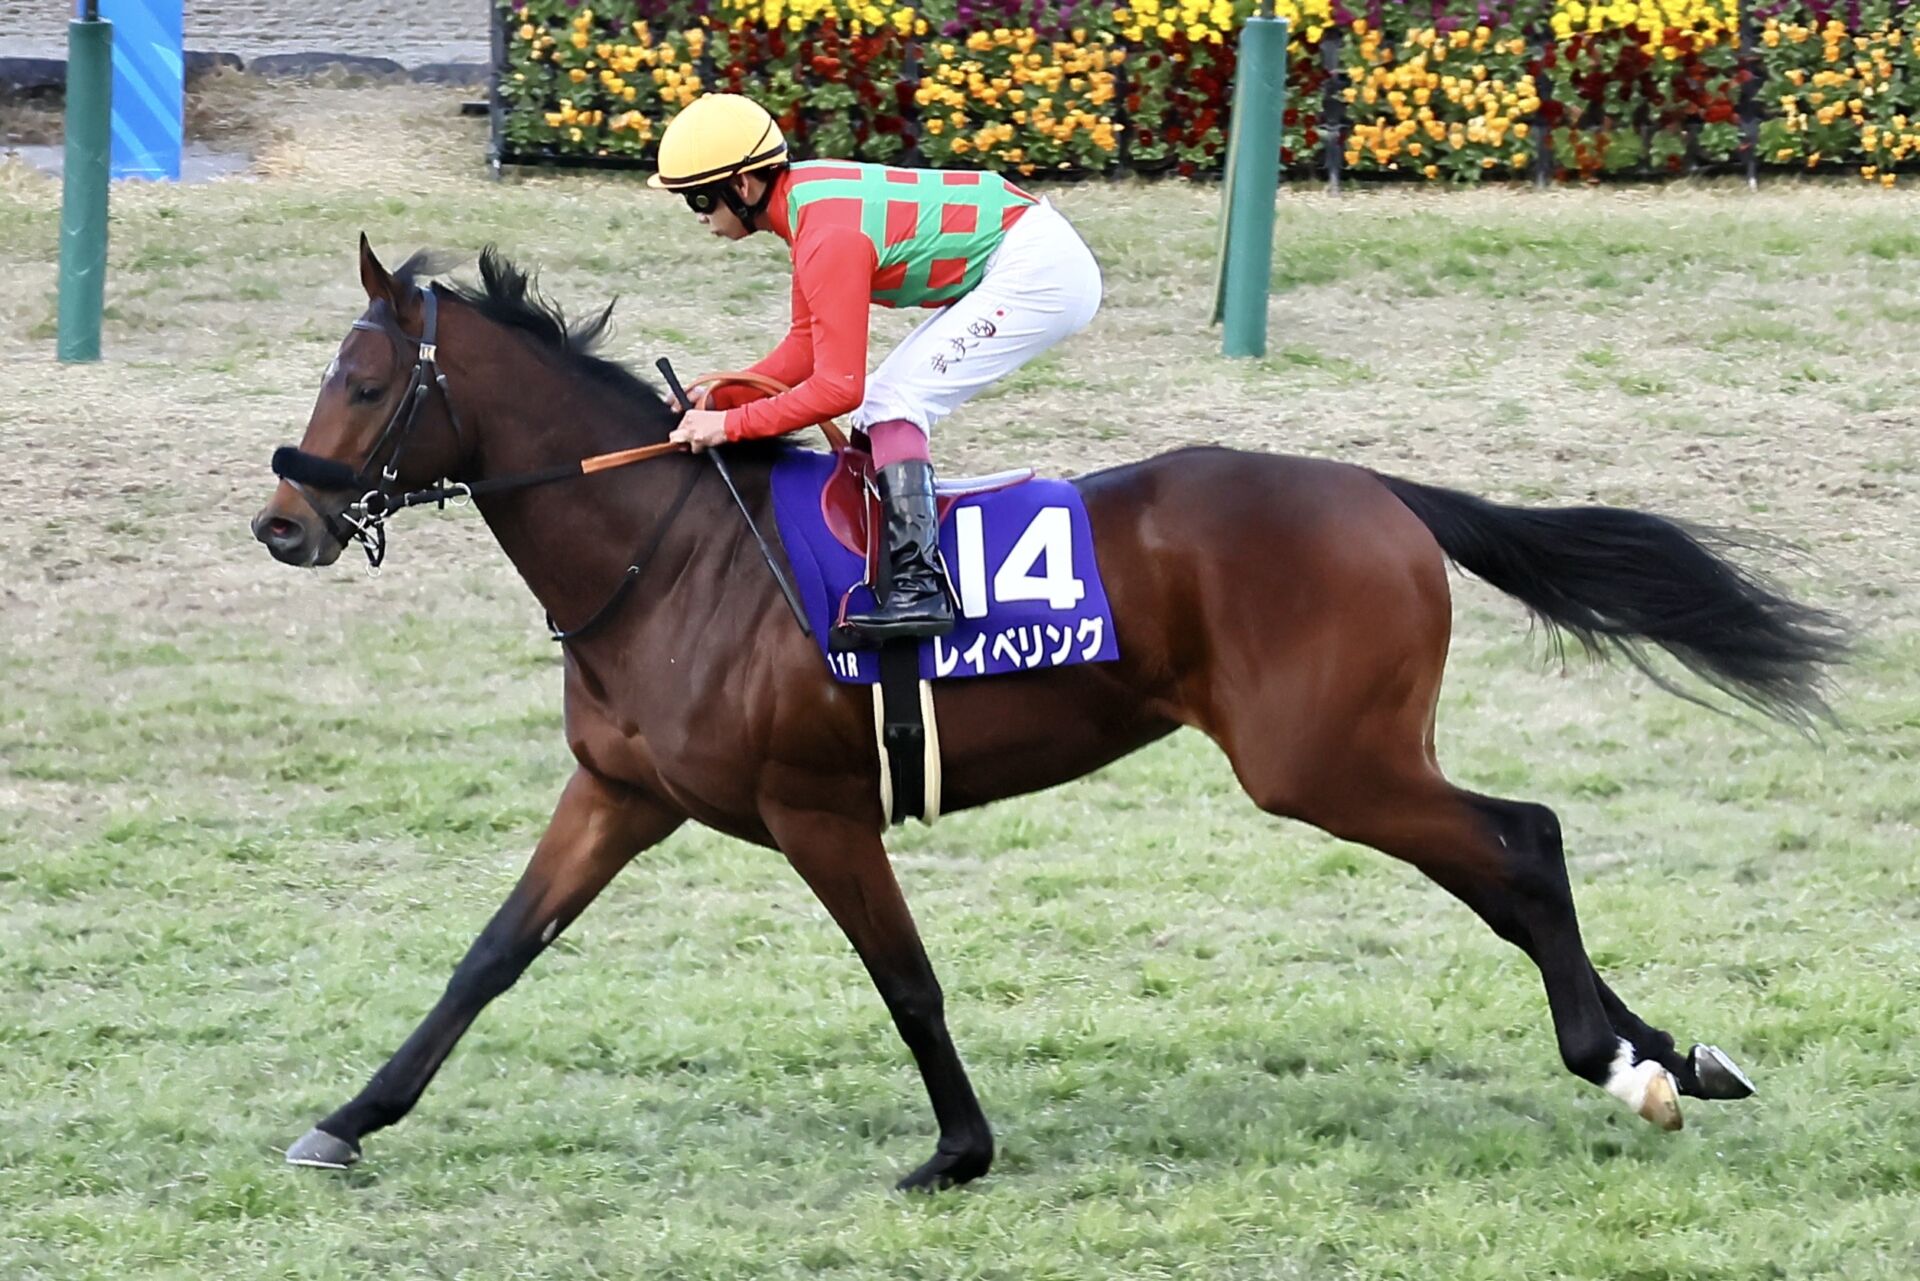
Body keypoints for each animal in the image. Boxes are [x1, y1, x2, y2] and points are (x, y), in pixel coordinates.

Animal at [251, 238, 1843, 1190]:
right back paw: (1674, 1057)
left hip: (1323, 759)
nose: (282, 522)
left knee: (1521, 843)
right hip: (1348, 756)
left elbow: (906, 982)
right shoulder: (621, 794)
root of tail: (1382, 492)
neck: (668, 556)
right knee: (1520, 858)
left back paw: (1623, 1063)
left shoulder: (816, 809)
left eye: (368, 381)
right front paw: (347, 1119)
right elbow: (489, 958)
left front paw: (957, 1149)